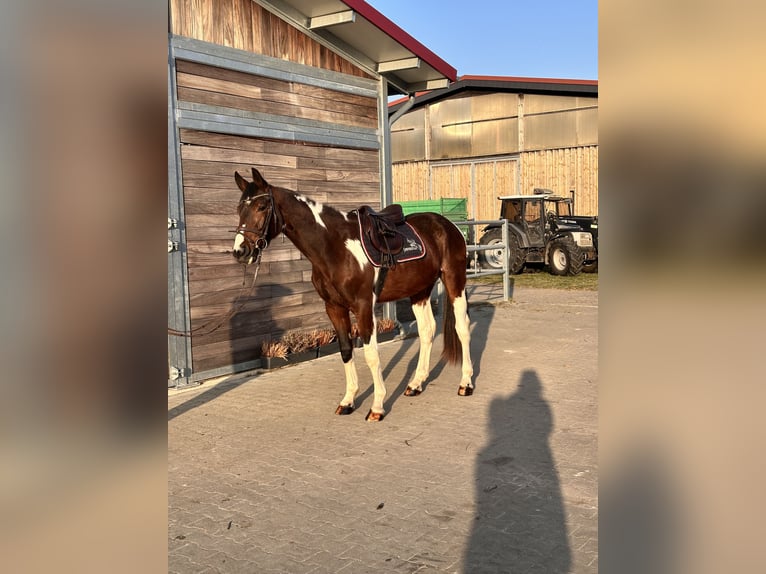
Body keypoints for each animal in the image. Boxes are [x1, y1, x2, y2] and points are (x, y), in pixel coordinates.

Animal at [232, 168, 473, 421]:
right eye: (239, 209)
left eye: (261, 207)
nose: (240, 251)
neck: (335, 247)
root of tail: (447, 225)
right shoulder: (334, 308)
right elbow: (346, 350)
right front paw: (348, 401)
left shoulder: (363, 306)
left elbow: (371, 354)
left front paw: (377, 407)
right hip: (419, 290)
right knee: (427, 331)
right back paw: (415, 384)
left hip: (454, 282)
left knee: (462, 327)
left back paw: (465, 383)